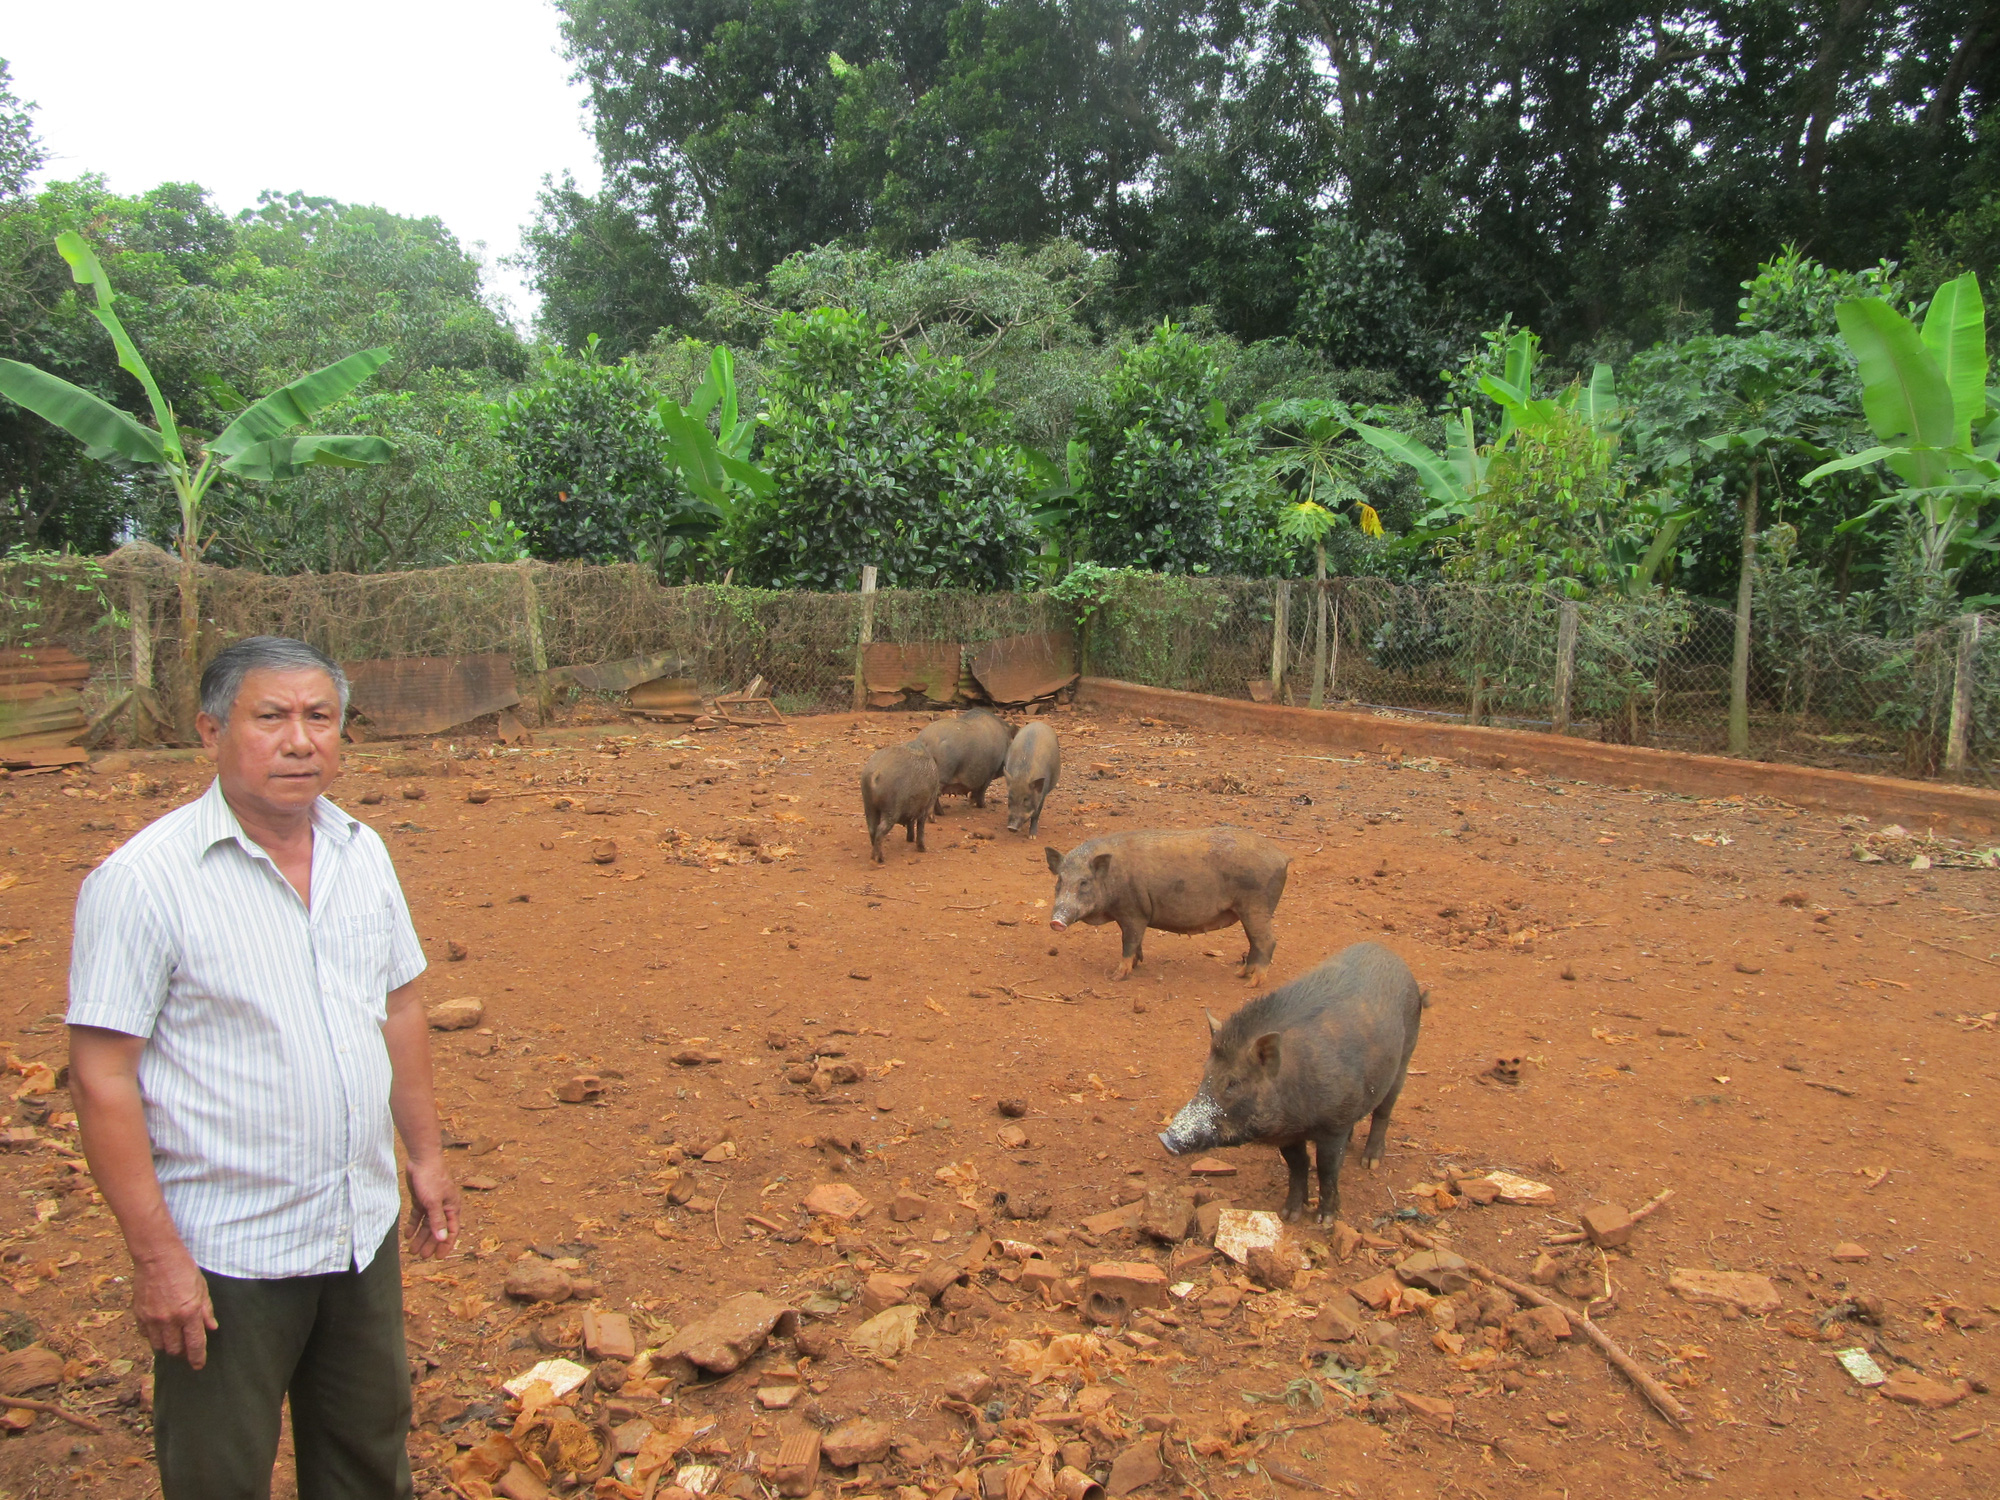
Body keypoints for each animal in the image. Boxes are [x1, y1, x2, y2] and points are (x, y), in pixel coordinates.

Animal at [1048, 824, 1296, 988]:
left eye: (1084, 882)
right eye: (1060, 880)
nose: (1056, 921)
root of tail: (1282, 856)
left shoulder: (1134, 912)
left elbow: (1128, 942)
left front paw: (1115, 976)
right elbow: (1136, 943)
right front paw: (1136, 964)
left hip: (1257, 907)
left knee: (1267, 941)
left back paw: (1251, 984)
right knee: (1255, 943)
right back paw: (1240, 974)